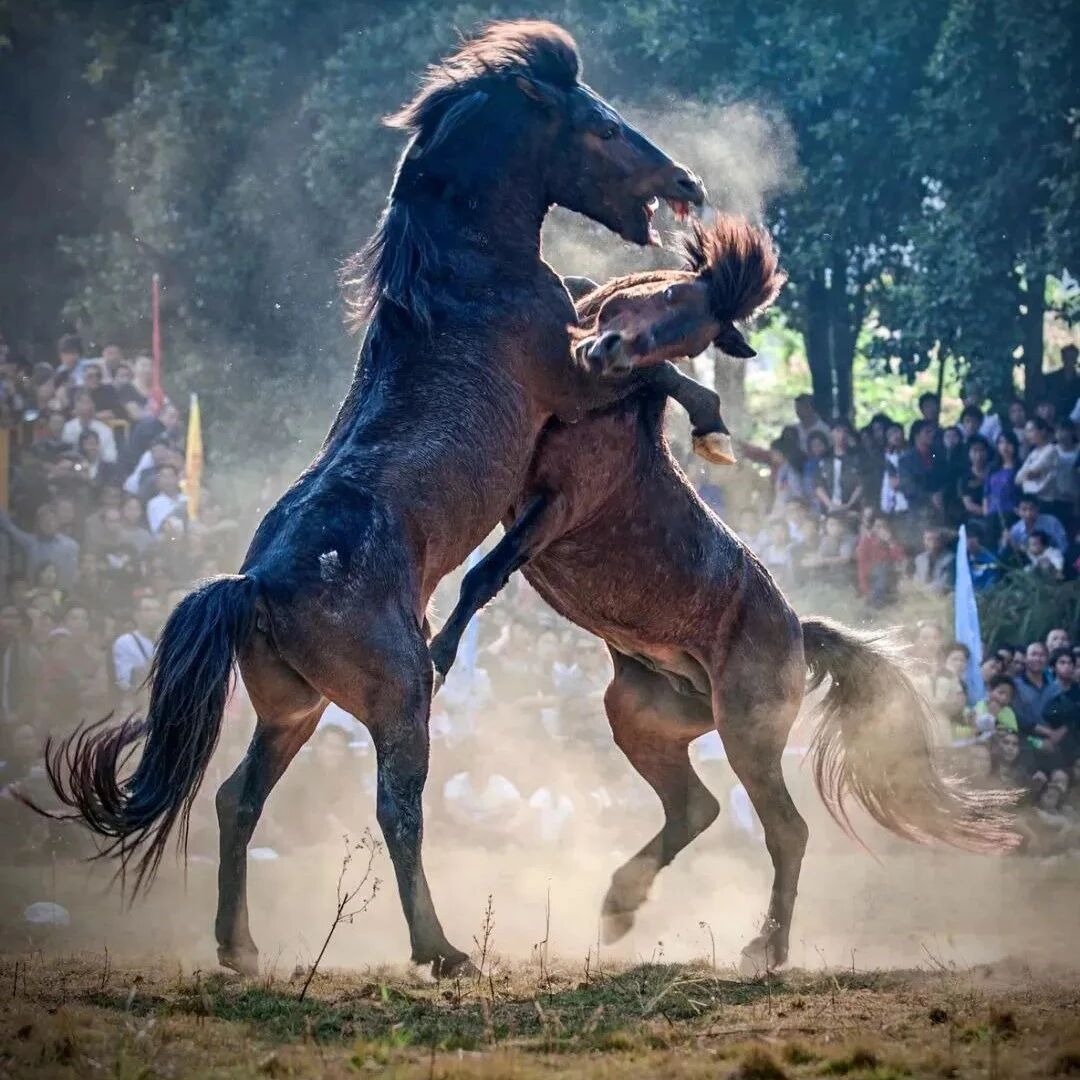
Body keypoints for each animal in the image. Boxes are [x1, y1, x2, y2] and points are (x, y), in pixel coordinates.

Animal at [35, 21, 707, 978]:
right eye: (604, 128)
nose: (686, 183)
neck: (467, 272)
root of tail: (254, 588)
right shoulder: (572, 377)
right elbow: (641, 365)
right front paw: (710, 407)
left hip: (295, 708)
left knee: (237, 798)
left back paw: (240, 946)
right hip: (397, 700)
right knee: (398, 808)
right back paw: (441, 949)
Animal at [429, 216, 1016, 971]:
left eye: (692, 335)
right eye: (668, 293)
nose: (609, 351)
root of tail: (799, 631)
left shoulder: (556, 506)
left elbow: (484, 574)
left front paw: (438, 655)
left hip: (747, 730)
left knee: (786, 829)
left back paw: (765, 947)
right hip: (642, 712)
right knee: (695, 809)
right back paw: (622, 905)